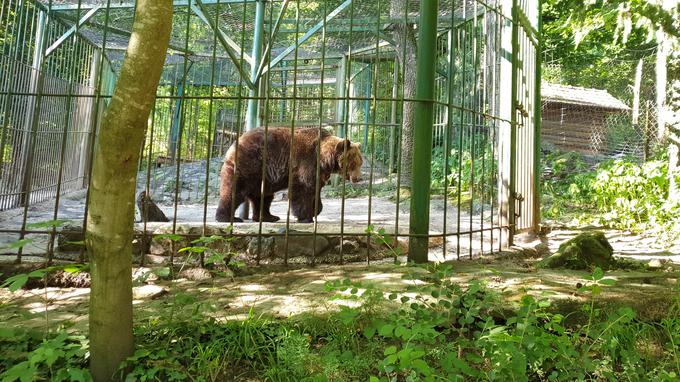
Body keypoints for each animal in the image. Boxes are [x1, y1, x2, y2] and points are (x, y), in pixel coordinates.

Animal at [218, 128, 364, 224]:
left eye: (360, 163)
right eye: (353, 163)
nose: (358, 178)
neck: (325, 160)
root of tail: (235, 143)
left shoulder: (320, 173)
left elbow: (315, 191)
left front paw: (315, 210)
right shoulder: (306, 162)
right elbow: (303, 190)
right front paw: (305, 217)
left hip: (262, 176)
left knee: (263, 196)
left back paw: (269, 217)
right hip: (249, 164)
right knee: (235, 191)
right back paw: (227, 217)